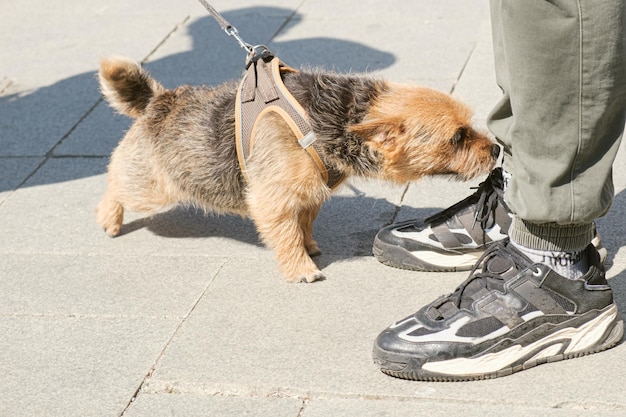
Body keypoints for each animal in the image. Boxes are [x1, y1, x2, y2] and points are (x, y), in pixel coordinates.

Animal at [96, 55, 498, 282]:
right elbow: (286, 235)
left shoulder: (309, 192)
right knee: (114, 180)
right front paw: (300, 268)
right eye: (457, 137)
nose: (495, 148)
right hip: (150, 187)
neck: (333, 117)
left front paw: (309, 246)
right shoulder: (273, 199)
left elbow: (303, 223)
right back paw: (108, 217)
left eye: (469, 126)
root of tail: (159, 101)